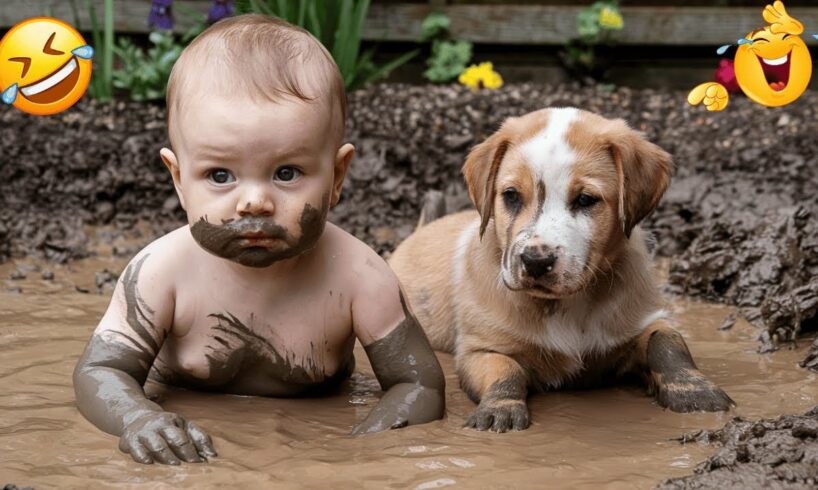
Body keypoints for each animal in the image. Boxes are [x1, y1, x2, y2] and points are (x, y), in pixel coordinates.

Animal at [388, 107, 732, 432]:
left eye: (586, 199)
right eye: (510, 195)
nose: (535, 260)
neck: (566, 304)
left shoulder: (643, 320)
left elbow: (668, 343)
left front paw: (694, 390)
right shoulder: (480, 348)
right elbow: (505, 370)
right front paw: (500, 409)